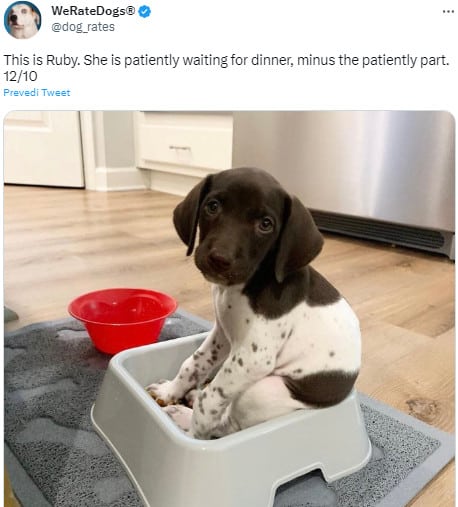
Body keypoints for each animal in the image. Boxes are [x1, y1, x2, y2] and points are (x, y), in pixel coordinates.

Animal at [147, 168, 362, 440]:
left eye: (265, 224)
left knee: (228, 425)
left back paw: (186, 417)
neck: (243, 287)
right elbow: (194, 363)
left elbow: (210, 399)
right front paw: (170, 392)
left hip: (263, 389)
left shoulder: (253, 358)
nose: (220, 259)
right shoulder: (223, 335)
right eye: (212, 206)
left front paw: (194, 435)